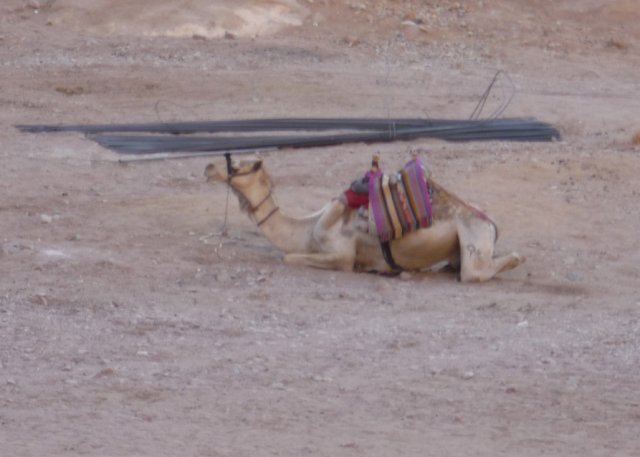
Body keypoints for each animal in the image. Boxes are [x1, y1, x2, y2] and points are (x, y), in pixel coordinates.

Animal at [205, 155, 524, 280]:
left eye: (239, 165)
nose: (209, 167)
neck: (306, 229)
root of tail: (491, 223)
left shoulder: (341, 254)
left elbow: (288, 257)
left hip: (474, 236)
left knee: (479, 270)